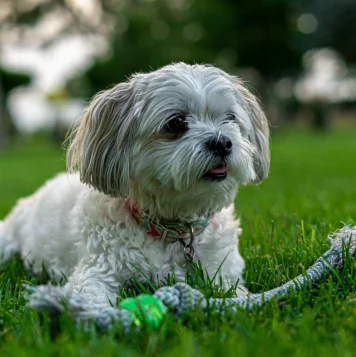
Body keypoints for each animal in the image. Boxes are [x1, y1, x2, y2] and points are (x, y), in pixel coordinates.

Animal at [0, 62, 268, 312]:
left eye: (230, 118)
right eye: (176, 123)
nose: (222, 142)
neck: (172, 232)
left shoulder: (223, 273)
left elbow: (236, 293)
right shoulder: (97, 270)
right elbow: (89, 297)